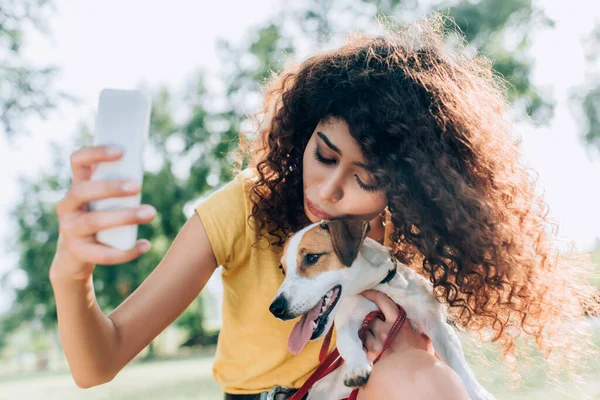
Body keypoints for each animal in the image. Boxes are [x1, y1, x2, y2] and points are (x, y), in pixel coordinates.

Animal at [270, 219, 494, 400]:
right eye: (283, 269)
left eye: (311, 258)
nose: (275, 309)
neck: (380, 286)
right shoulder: (348, 321)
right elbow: (348, 343)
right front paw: (356, 367)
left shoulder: (437, 325)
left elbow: (459, 363)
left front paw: (479, 393)